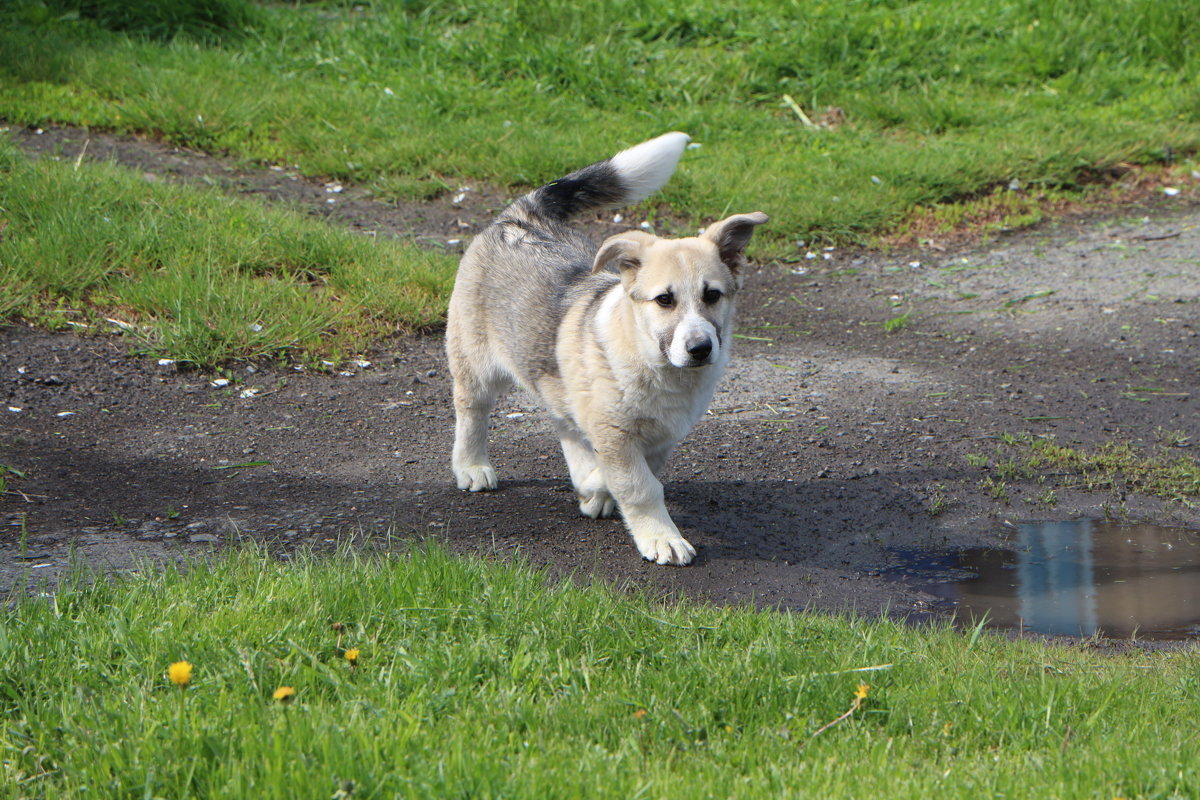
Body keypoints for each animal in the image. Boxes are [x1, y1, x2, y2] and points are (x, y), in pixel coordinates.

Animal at [444, 131, 768, 566]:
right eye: (664, 300)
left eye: (713, 295)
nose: (700, 348)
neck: (657, 368)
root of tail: (521, 215)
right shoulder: (616, 434)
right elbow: (639, 485)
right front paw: (661, 538)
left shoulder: (661, 437)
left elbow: (634, 474)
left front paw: (595, 488)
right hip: (475, 362)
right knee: (472, 413)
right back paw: (472, 466)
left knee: (563, 421)